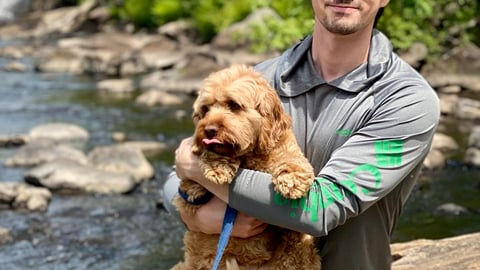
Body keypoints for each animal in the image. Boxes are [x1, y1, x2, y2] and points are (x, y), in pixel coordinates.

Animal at [171, 64, 320, 268]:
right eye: (205, 109)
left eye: (233, 105)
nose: (209, 130)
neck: (250, 157)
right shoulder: (187, 200)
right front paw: (217, 166)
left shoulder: (285, 148)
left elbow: (293, 160)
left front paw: (292, 180)